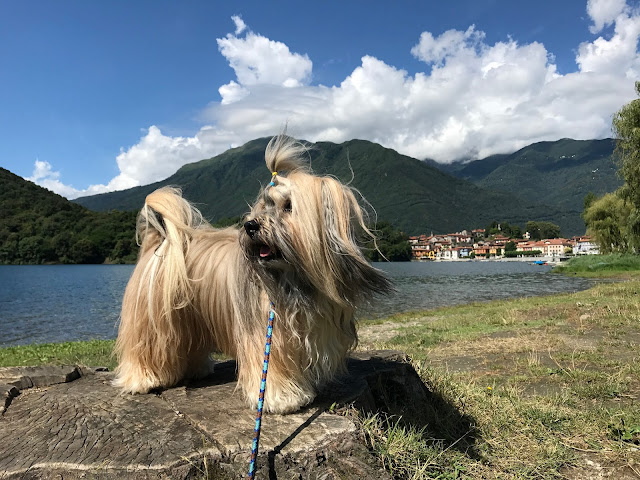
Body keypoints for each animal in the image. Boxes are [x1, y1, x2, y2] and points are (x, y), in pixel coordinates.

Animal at [114, 135, 390, 412]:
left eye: (288, 206)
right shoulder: (267, 332)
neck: (296, 279)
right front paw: (282, 399)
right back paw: (144, 379)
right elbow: (270, 367)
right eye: (262, 208)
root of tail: (159, 241)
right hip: (153, 321)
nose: (250, 225)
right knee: (147, 349)